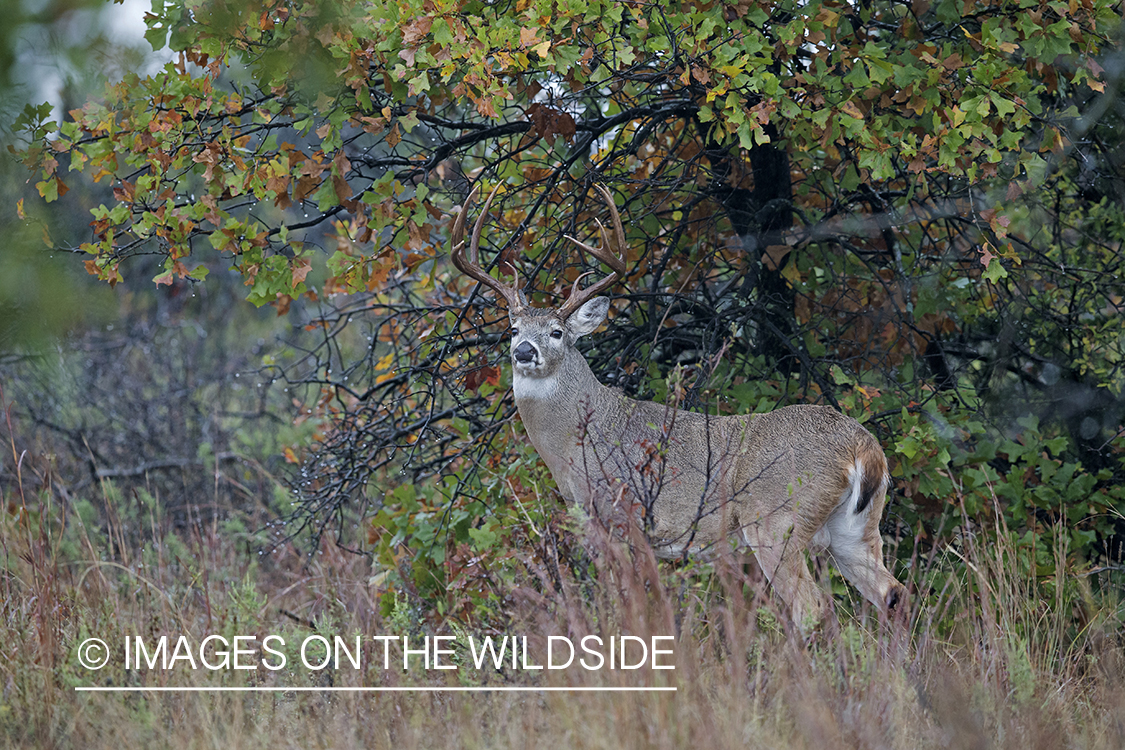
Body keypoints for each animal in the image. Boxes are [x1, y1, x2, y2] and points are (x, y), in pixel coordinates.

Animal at [447, 183, 904, 629]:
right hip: (855, 528)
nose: (524, 351)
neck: (576, 445)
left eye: (557, 332)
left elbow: (624, 603)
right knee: (892, 592)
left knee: (813, 607)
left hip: (776, 520)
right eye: (513, 328)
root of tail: (864, 448)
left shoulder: (623, 517)